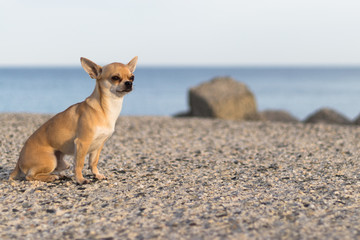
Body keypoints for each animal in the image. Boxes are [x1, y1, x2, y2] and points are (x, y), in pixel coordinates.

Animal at [8, 56, 138, 184]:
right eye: (115, 78)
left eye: (132, 77)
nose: (129, 83)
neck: (106, 108)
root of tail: (18, 161)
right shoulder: (82, 143)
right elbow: (79, 164)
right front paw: (80, 179)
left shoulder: (98, 145)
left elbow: (93, 162)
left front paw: (97, 175)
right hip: (50, 160)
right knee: (29, 176)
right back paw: (51, 177)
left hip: (62, 163)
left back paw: (58, 175)